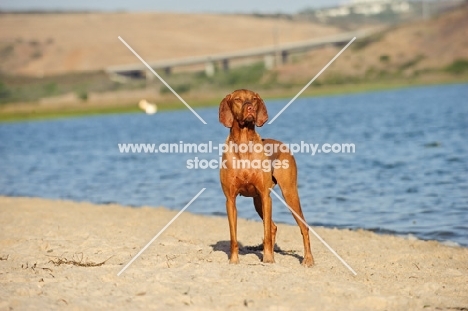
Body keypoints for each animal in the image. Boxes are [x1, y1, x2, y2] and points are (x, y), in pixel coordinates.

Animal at [219, 89, 314, 266]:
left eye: (253, 99)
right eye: (237, 99)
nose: (250, 107)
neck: (244, 144)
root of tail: (283, 145)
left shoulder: (265, 196)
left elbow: (267, 233)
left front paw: (268, 258)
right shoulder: (230, 199)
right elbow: (233, 236)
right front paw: (234, 260)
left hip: (289, 193)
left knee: (302, 227)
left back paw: (308, 259)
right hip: (257, 202)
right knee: (273, 227)